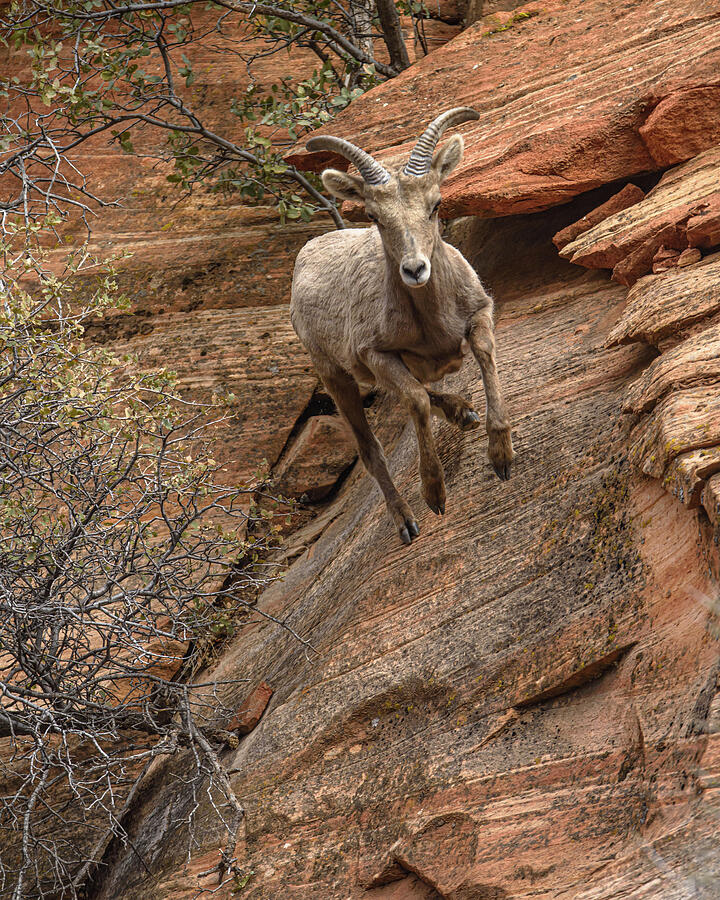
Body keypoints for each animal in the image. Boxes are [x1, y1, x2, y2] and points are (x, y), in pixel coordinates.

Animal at [290, 107, 514, 545]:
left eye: (436, 204)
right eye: (374, 217)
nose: (414, 270)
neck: (433, 322)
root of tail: (305, 254)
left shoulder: (479, 314)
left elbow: (484, 356)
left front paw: (501, 457)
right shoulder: (377, 354)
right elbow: (416, 400)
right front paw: (435, 495)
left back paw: (463, 413)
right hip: (334, 376)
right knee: (371, 448)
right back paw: (406, 523)